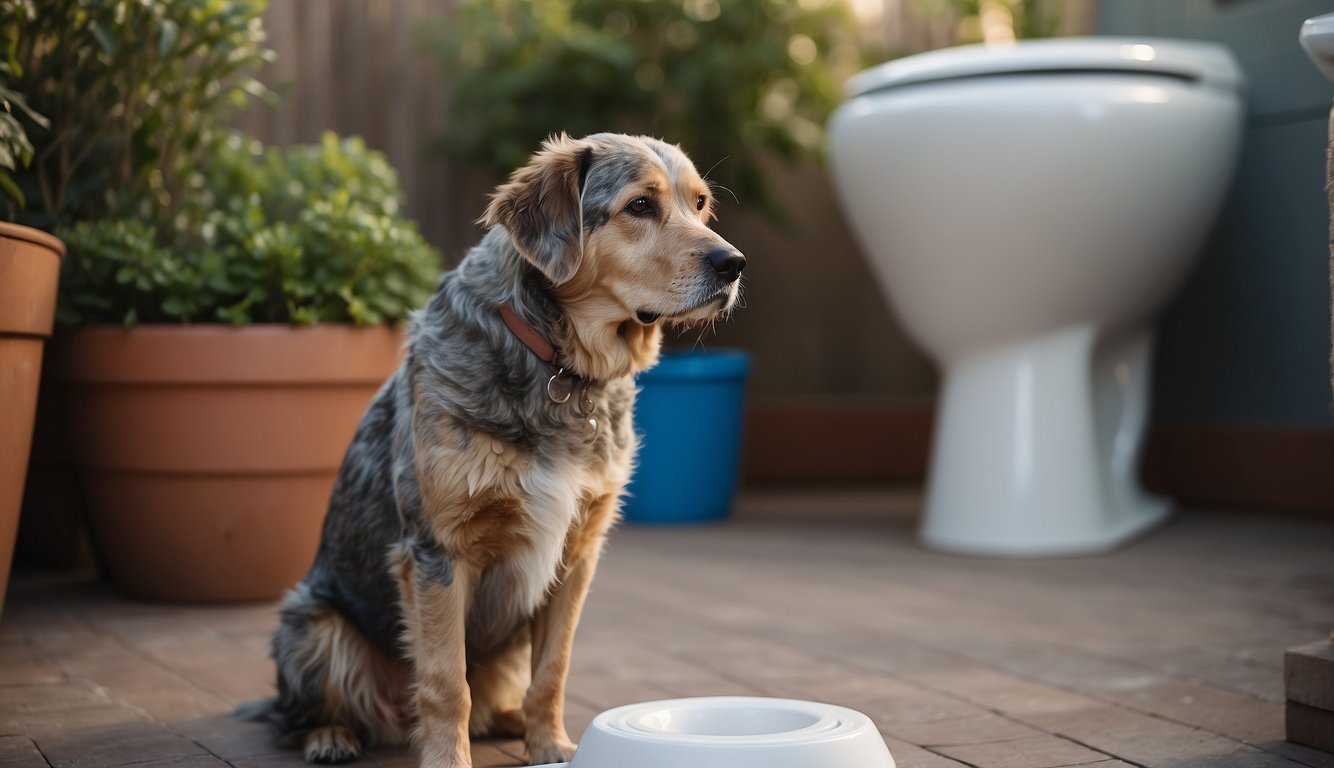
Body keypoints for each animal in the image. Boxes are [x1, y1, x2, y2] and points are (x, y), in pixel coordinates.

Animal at [250, 133, 747, 768]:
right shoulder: (440, 552)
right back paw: (331, 736)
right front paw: (449, 761)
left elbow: (553, 669)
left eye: (700, 204)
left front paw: (551, 745)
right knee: (300, 715)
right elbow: (446, 683)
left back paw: (508, 720)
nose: (733, 264)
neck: (560, 366)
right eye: (640, 206)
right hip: (314, 626)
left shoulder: (577, 555)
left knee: (496, 697)